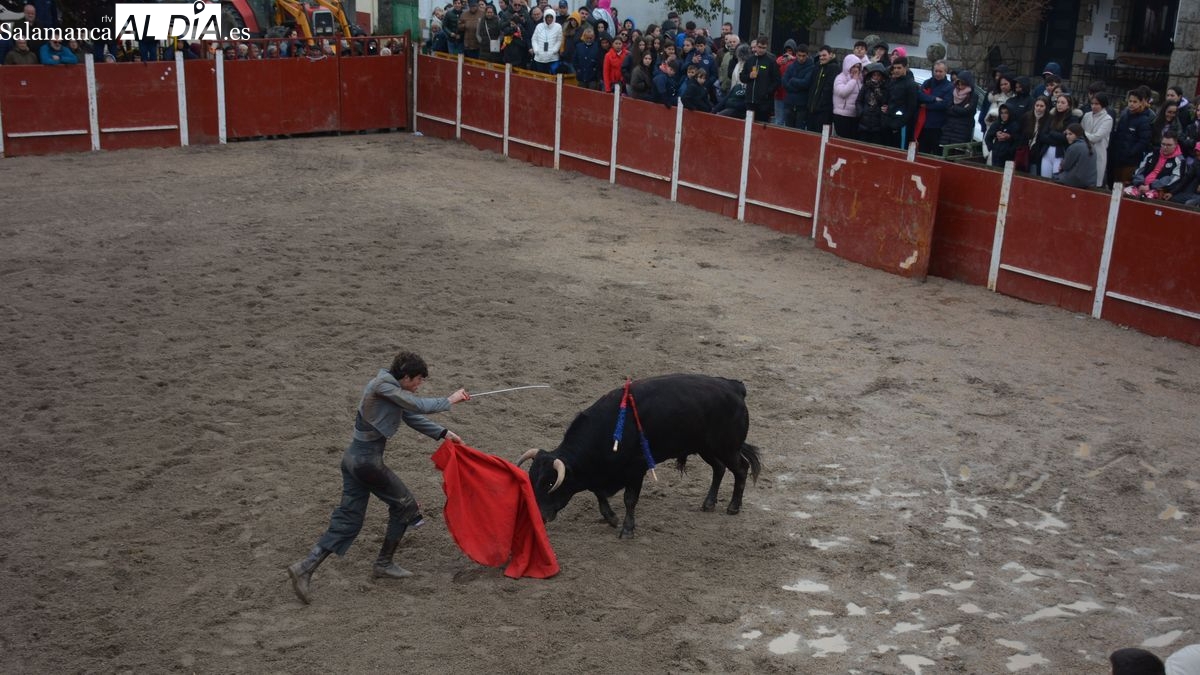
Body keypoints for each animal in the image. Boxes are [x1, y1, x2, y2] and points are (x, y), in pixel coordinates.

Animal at [517, 374, 762, 538]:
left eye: (550, 483)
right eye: (531, 479)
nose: (538, 517)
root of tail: (735, 387)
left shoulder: (636, 470)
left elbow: (629, 499)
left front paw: (627, 529)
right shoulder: (600, 473)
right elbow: (599, 493)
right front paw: (611, 518)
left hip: (727, 448)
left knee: (741, 469)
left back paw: (733, 507)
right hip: (706, 449)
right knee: (719, 468)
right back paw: (709, 503)